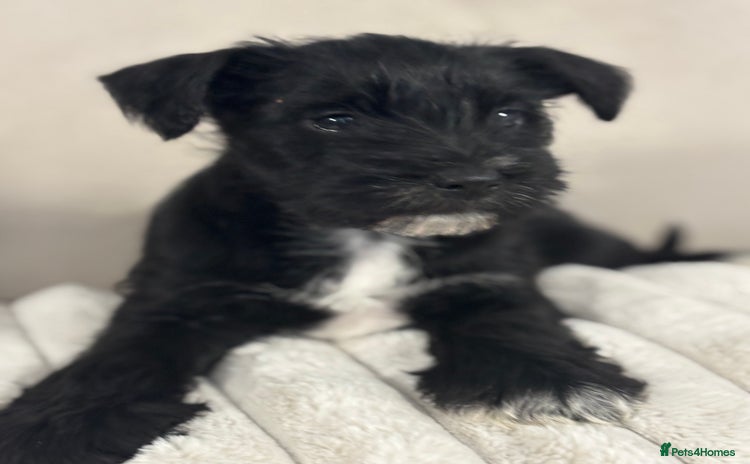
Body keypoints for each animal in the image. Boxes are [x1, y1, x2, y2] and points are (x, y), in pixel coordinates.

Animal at [0, 34, 717, 464]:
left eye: (508, 115)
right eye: (334, 120)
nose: (473, 177)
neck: (363, 233)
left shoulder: (487, 277)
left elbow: (515, 320)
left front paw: (553, 379)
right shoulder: (176, 297)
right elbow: (116, 361)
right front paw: (50, 429)